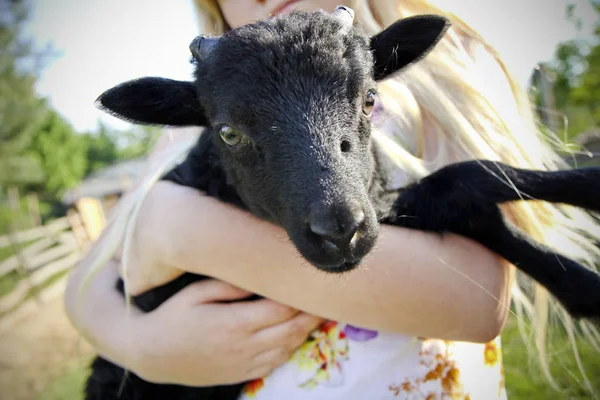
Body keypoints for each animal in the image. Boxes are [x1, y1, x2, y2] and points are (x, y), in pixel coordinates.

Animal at [83, 7, 600, 400]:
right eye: (227, 132)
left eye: (370, 99)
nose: (340, 231)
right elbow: (464, 181)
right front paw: (582, 272)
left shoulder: (379, 202)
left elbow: (474, 185)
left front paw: (580, 226)